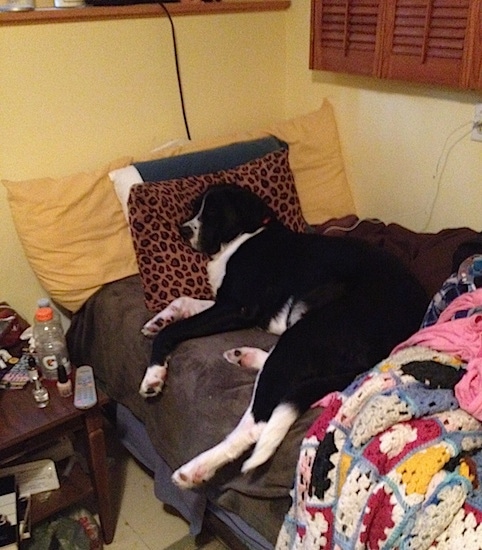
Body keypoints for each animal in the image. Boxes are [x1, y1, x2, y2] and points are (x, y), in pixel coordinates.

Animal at [138, 187, 426, 492]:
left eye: (214, 211)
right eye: (195, 208)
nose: (183, 230)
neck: (245, 235)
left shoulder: (238, 307)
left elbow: (174, 331)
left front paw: (154, 375)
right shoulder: (229, 306)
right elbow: (183, 301)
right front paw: (159, 319)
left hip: (306, 332)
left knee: (258, 422)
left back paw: (196, 469)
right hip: (300, 328)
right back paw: (246, 356)